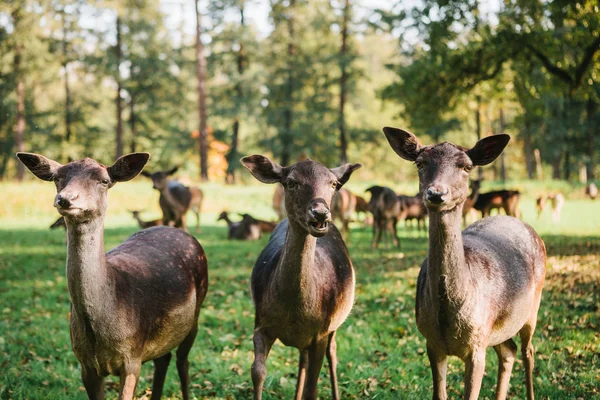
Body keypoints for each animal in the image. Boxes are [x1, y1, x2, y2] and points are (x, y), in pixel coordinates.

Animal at [17, 152, 209, 400]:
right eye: (57, 177)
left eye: (104, 180)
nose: (66, 198)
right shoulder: (85, 364)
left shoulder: (132, 358)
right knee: (163, 358)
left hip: (196, 311)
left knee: (182, 362)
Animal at [240, 155, 360, 400]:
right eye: (291, 182)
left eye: (333, 183)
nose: (320, 213)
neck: (295, 313)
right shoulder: (261, 322)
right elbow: (257, 372)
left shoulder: (321, 332)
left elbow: (313, 388)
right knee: (302, 359)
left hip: (335, 323)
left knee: (333, 354)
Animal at [382, 127, 548, 400]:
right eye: (420, 162)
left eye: (467, 166)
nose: (436, 193)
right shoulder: (432, 343)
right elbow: (439, 394)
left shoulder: (477, 344)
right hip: (499, 327)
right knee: (509, 351)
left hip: (532, 306)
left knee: (528, 351)